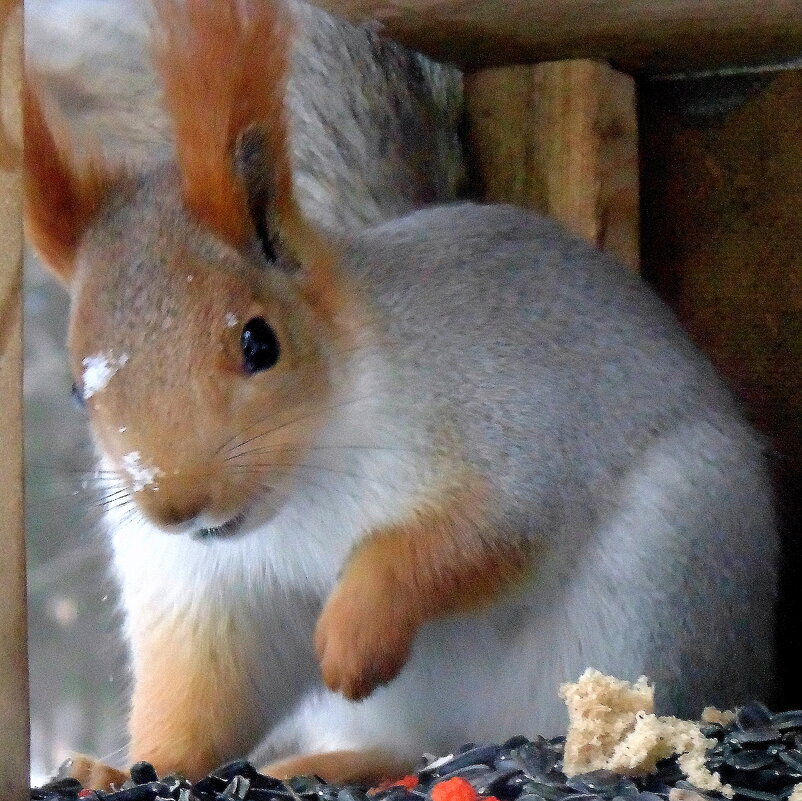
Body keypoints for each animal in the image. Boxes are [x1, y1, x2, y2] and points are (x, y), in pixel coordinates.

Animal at [26, 0, 776, 792]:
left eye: (260, 342)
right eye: (77, 389)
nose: (176, 506)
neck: (306, 476)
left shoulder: (504, 423)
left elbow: (465, 539)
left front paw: (353, 636)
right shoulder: (200, 591)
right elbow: (203, 700)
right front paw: (121, 770)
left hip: (655, 585)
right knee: (407, 746)